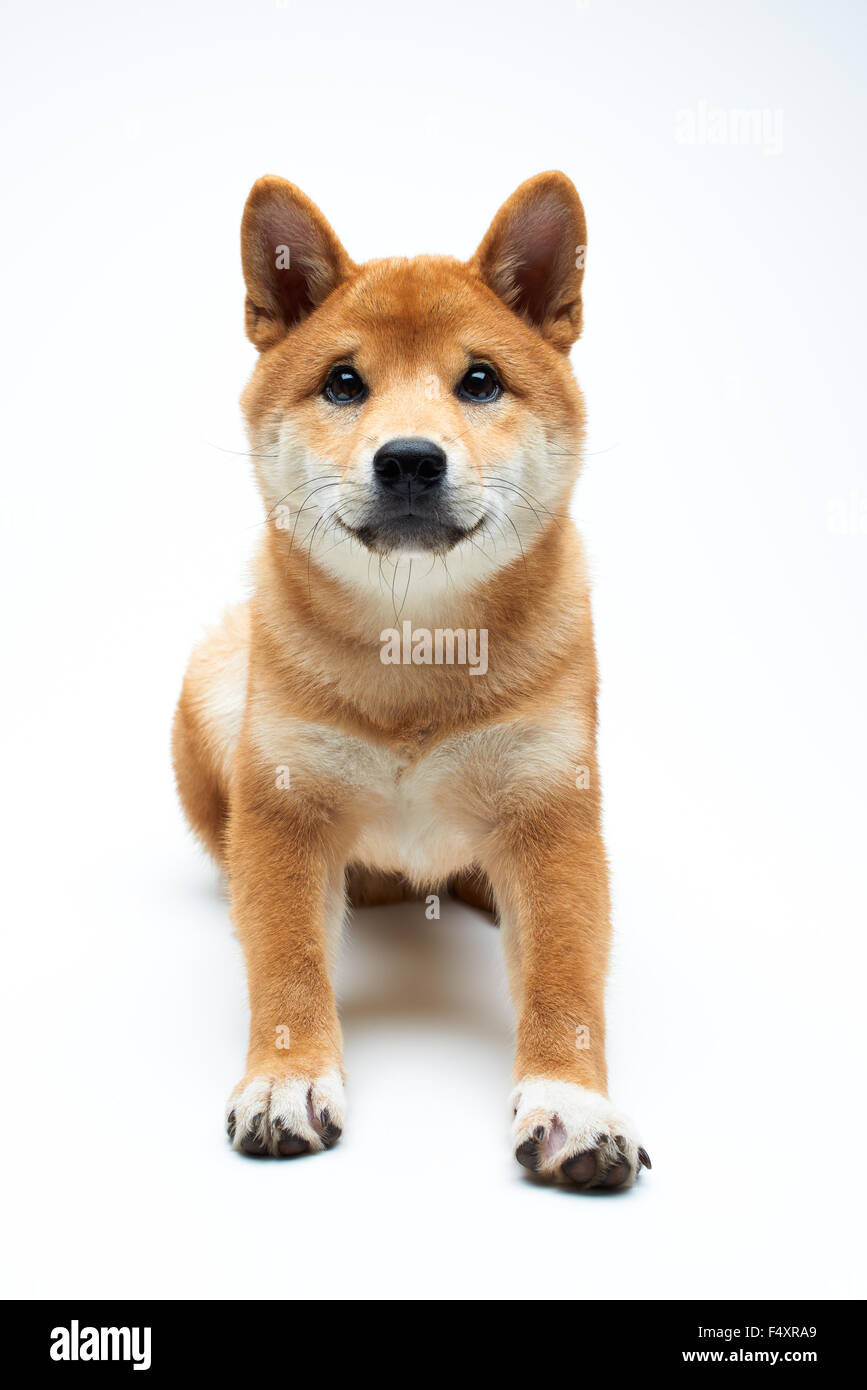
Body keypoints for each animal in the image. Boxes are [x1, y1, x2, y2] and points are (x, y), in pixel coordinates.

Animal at [174, 168, 650, 1189]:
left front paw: (573, 1104)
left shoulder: (553, 812)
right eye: (343, 383)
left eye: (479, 381)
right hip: (215, 681)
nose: (408, 460)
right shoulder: (282, 808)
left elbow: (566, 983)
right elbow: (286, 965)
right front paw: (285, 1079)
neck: (415, 657)